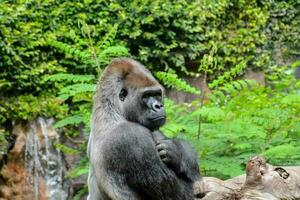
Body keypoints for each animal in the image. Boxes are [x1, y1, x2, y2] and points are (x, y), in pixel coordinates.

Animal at [86, 57, 202, 200]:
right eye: (146, 96)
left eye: (157, 94)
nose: (159, 106)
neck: (112, 111)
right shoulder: (132, 136)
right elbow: (183, 193)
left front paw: (177, 150)